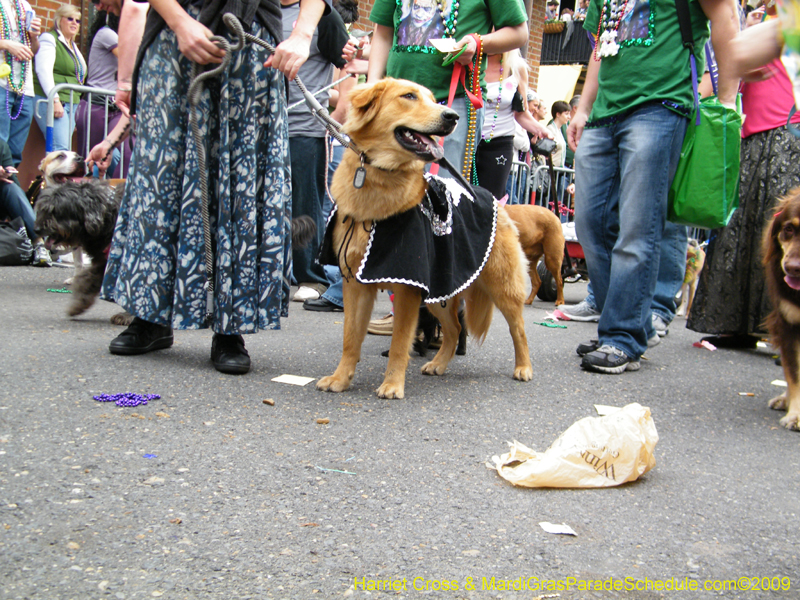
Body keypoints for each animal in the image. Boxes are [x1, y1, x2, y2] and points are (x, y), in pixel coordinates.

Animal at [316, 79, 536, 398]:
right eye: (408, 96)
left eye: (434, 99)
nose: (452, 117)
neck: (379, 180)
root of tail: (493, 197)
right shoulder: (356, 284)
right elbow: (350, 338)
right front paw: (340, 378)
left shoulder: (407, 289)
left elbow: (399, 343)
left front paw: (392, 384)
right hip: (439, 294)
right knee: (454, 329)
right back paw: (438, 364)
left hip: (502, 287)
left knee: (517, 329)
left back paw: (524, 367)